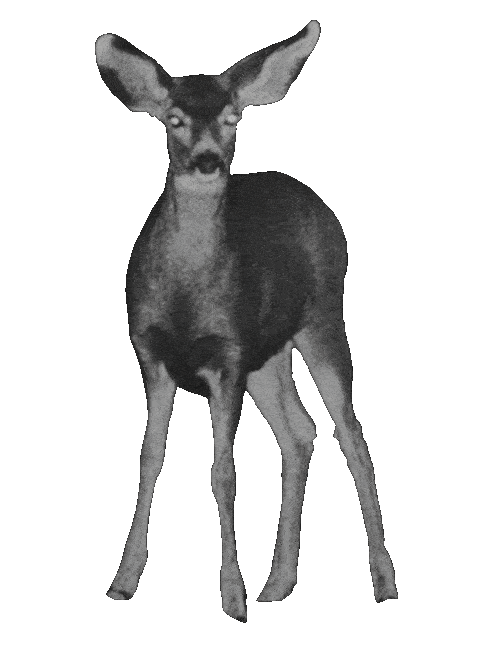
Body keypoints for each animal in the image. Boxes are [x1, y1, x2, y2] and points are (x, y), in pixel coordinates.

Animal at [95, 20, 398, 623]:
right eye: (174, 118)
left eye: (233, 116)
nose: (208, 160)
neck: (188, 296)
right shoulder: (150, 353)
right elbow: (149, 458)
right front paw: (123, 580)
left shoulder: (228, 357)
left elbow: (224, 472)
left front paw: (230, 596)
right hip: (269, 354)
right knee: (300, 432)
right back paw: (279, 581)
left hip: (323, 317)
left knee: (351, 433)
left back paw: (383, 581)